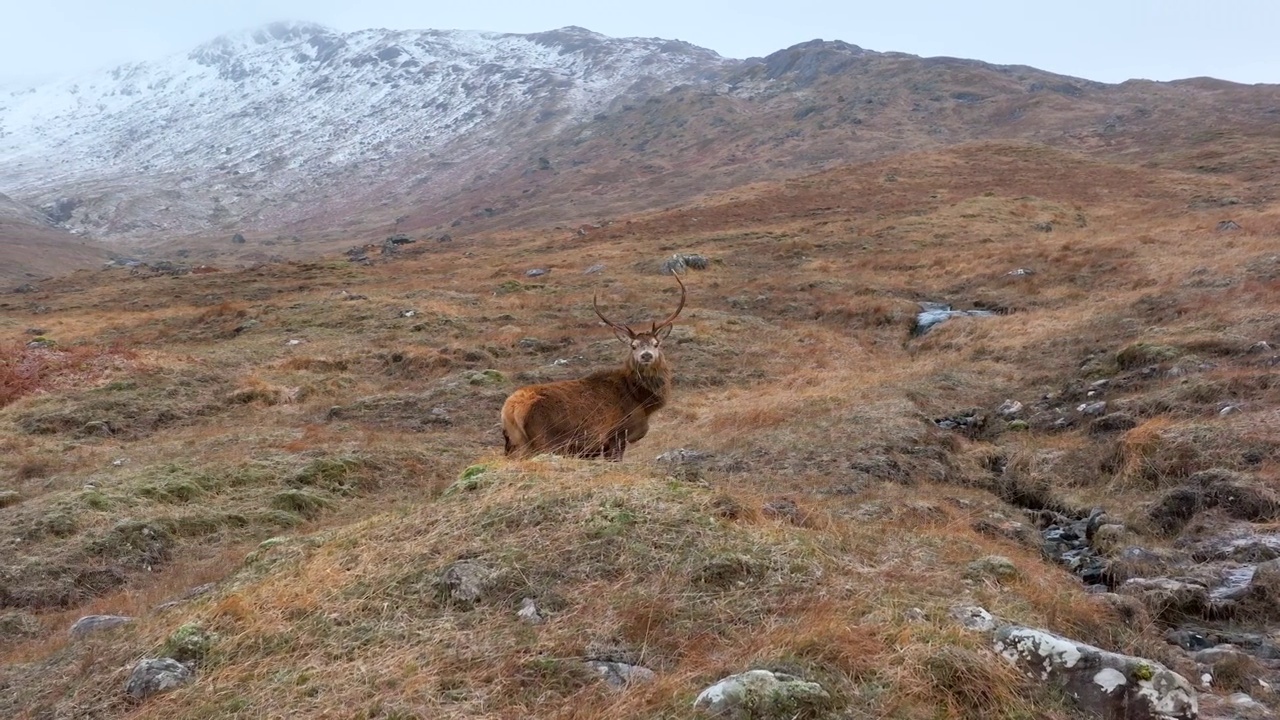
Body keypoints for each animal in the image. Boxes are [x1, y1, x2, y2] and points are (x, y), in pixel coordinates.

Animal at [496, 269, 686, 458]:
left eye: (656, 343)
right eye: (633, 346)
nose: (646, 355)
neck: (642, 401)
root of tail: (510, 410)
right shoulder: (616, 436)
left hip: (511, 444)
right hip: (543, 441)